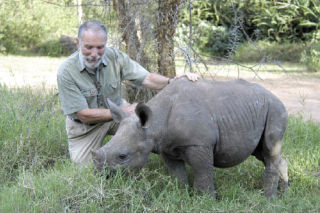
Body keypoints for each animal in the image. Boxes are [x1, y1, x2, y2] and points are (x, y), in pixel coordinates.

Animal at [91, 78, 288, 198]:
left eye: (122, 156)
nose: (100, 176)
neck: (154, 124)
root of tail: (275, 96)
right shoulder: (166, 147)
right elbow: (176, 172)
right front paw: (180, 193)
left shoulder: (199, 144)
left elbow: (202, 171)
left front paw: (205, 200)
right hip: (257, 110)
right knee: (263, 153)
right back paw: (283, 192)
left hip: (275, 109)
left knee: (270, 149)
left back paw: (268, 198)